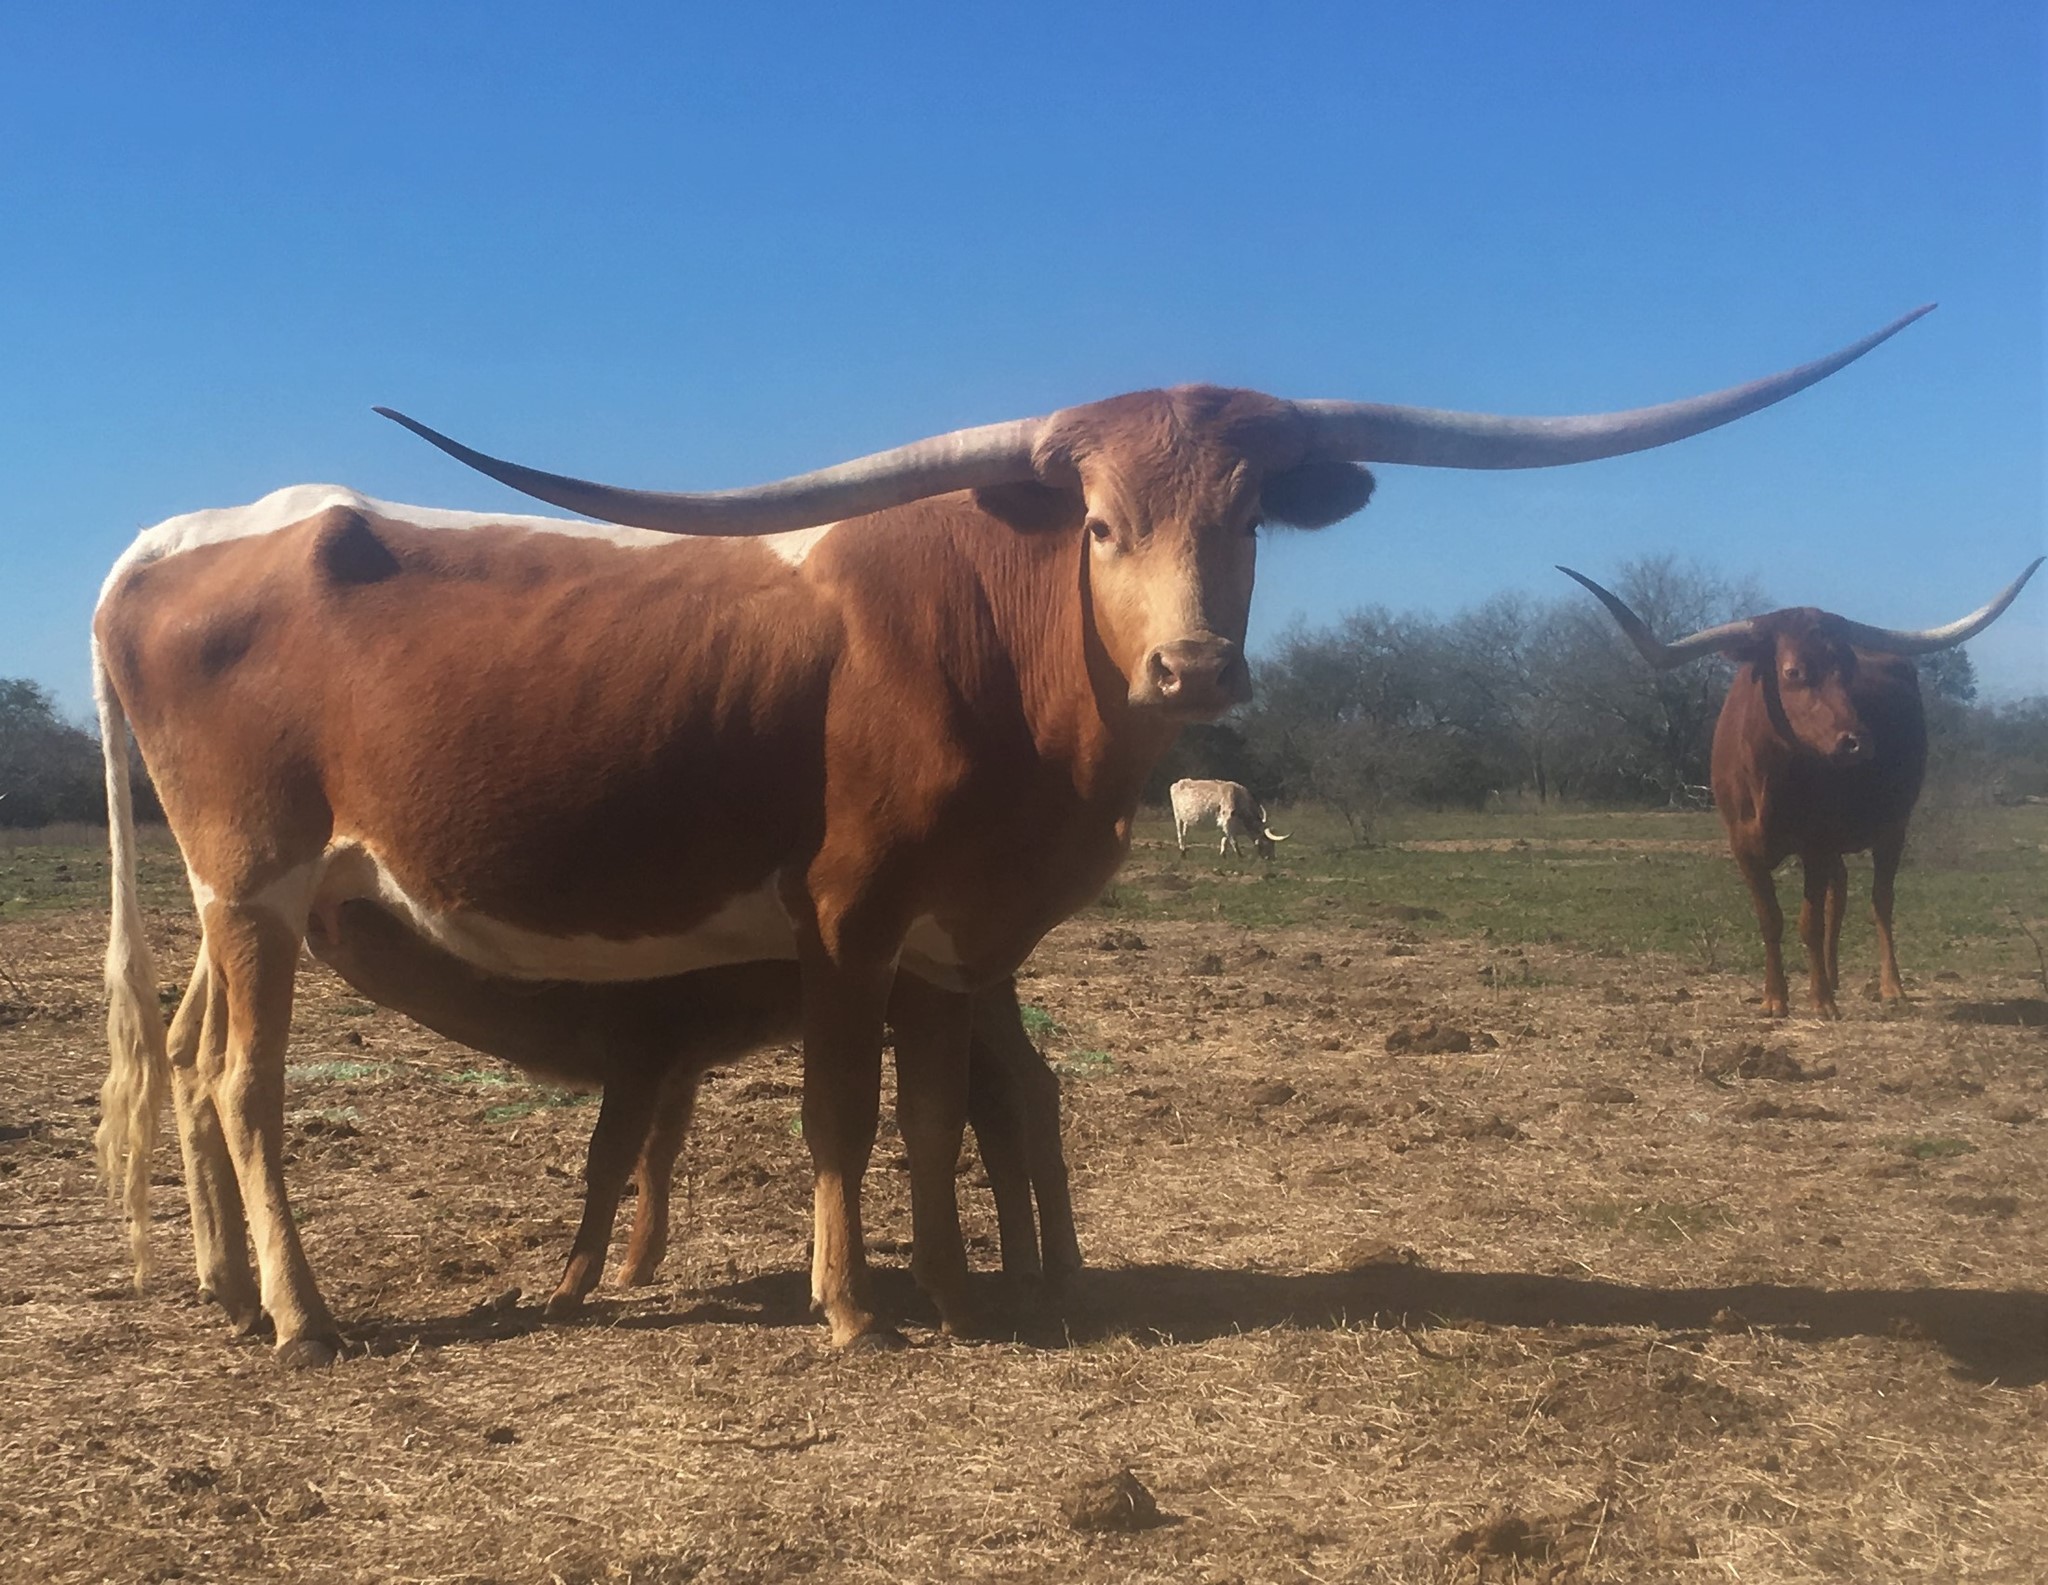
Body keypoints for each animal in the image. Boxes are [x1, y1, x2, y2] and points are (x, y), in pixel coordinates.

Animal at [300, 899, 1080, 1317]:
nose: (318, 914)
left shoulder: (640, 1059)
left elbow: (609, 1157)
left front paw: (569, 1289)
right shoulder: (676, 1069)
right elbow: (658, 1153)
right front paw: (636, 1266)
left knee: (1014, 1097)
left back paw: (1044, 1271)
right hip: (982, 1004)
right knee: (1019, 1095)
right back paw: (1035, 1269)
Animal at [1560, 558, 2041, 1017]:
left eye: (1849, 671)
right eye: (1793, 672)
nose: (1857, 742)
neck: (1770, 781)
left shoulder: (1817, 843)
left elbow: (1809, 921)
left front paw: (1821, 1001)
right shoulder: (1743, 847)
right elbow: (1771, 919)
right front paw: (1776, 998)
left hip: (1893, 828)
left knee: (1879, 900)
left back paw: (1889, 988)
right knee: (1841, 893)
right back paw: (1833, 976)